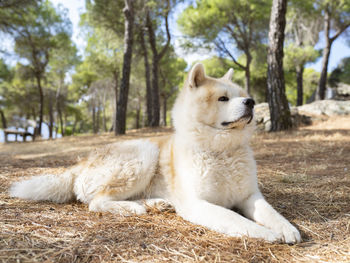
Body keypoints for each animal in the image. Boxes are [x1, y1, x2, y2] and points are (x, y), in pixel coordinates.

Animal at [10, 64, 300, 245]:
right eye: (223, 99)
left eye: (242, 96)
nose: (251, 102)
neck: (222, 151)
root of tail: (83, 162)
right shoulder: (198, 203)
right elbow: (236, 218)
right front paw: (264, 233)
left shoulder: (250, 196)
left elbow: (271, 213)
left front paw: (287, 228)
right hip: (144, 154)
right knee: (97, 202)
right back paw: (133, 208)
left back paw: (157, 203)